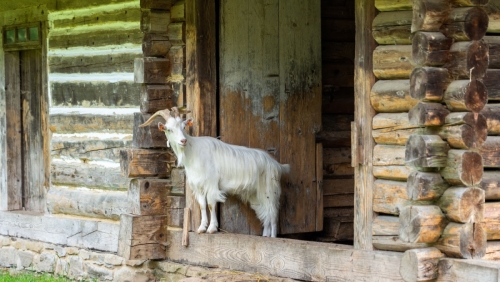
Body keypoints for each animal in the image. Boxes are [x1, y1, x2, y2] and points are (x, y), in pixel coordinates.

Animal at [141, 107, 290, 237]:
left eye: (183, 127)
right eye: (169, 129)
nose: (183, 140)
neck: (193, 152)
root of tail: (276, 165)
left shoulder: (211, 183)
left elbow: (211, 204)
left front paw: (212, 229)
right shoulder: (198, 186)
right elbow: (202, 205)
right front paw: (201, 228)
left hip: (270, 191)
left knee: (273, 214)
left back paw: (273, 237)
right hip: (256, 194)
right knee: (265, 214)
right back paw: (265, 236)